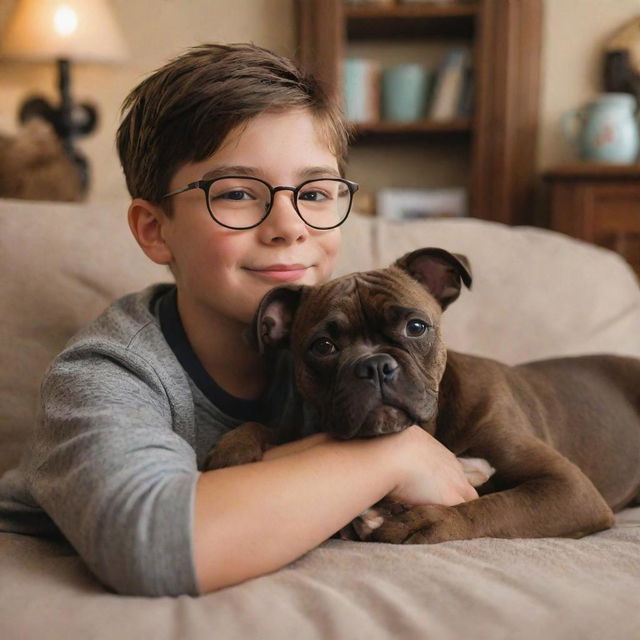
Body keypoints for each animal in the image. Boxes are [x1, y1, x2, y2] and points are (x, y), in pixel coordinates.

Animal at [205, 248, 640, 544]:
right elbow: (270, 428)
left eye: (416, 327)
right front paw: (233, 448)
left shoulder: (568, 489)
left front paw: (429, 520)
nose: (375, 365)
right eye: (323, 346)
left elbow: (495, 505)